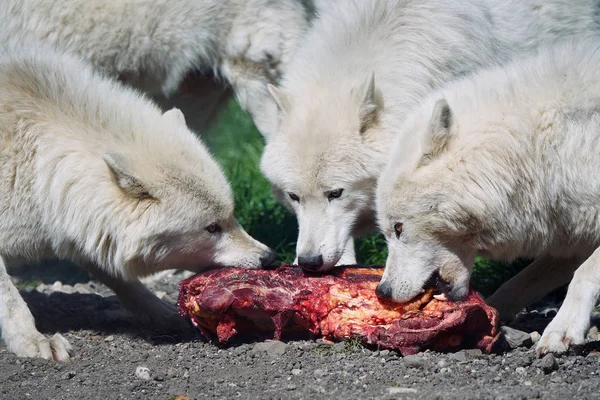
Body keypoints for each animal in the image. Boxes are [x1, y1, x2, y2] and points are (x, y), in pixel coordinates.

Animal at [0, 44, 276, 362]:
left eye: (232, 216)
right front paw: (33, 341)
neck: (37, 166)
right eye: (211, 228)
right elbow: (11, 299)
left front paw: (162, 313)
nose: (269, 257)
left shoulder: (86, 229)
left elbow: (120, 277)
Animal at [376, 39, 600, 354]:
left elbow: (584, 273)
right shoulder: (573, 236)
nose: (382, 291)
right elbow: (517, 284)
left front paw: (563, 329)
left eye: (398, 228)